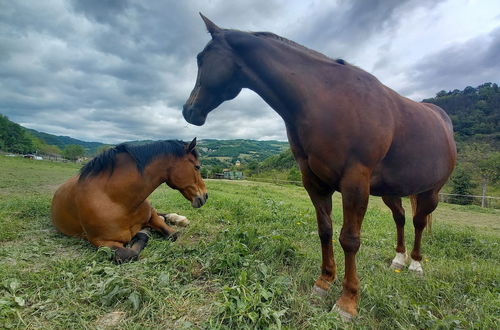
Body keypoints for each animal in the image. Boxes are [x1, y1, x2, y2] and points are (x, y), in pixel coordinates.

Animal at [50, 139, 207, 262]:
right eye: (197, 166)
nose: (205, 196)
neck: (118, 201)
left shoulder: (152, 217)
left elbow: (173, 233)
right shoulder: (101, 241)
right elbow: (130, 253)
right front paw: (144, 232)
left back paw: (179, 219)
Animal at [184, 15, 458, 320]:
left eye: (201, 58)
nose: (189, 110)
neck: (327, 101)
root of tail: (442, 121)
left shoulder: (354, 183)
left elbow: (349, 239)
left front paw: (348, 301)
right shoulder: (313, 181)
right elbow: (325, 230)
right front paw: (324, 281)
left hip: (431, 191)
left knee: (419, 221)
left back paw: (416, 265)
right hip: (391, 191)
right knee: (399, 218)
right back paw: (399, 259)